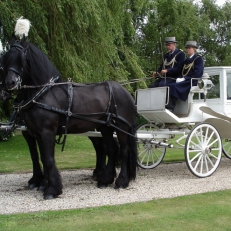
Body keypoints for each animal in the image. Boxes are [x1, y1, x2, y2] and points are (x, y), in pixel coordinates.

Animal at [1, 35, 137, 199]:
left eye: (21, 58)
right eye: (5, 59)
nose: (10, 83)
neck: (43, 93)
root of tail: (125, 91)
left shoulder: (47, 132)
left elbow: (49, 159)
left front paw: (52, 189)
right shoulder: (37, 133)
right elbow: (41, 157)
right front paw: (44, 183)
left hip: (121, 127)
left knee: (123, 151)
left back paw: (121, 181)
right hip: (105, 128)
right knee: (110, 149)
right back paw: (105, 179)